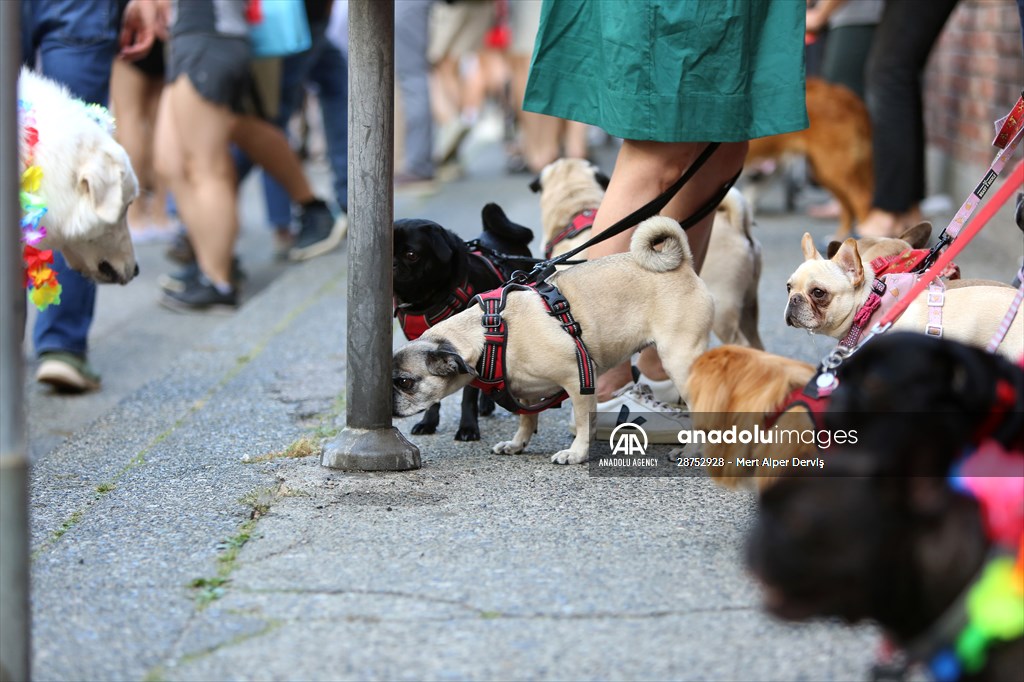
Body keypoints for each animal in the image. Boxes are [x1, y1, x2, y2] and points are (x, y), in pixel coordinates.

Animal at [391, 201, 536, 438]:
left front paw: (468, 427)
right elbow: (432, 393)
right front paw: (428, 422)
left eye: (411, 254)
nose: (391, 264)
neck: (428, 299)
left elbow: (468, 394)